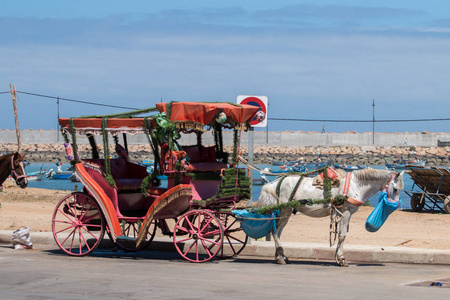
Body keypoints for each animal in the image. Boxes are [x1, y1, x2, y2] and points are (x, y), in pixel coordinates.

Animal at [255, 169, 406, 268]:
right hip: (285, 209)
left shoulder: (345, 214)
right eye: (395, 189)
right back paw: (280, 258)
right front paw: (342, 259)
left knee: (278, 232)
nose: (395, 205)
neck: (355, 185)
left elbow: (340, 234)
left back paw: (281, 256)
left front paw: (338, 257)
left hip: (286, 211)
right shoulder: (346, 212)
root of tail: (275, 183)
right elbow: (343, 235)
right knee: (275, 231)